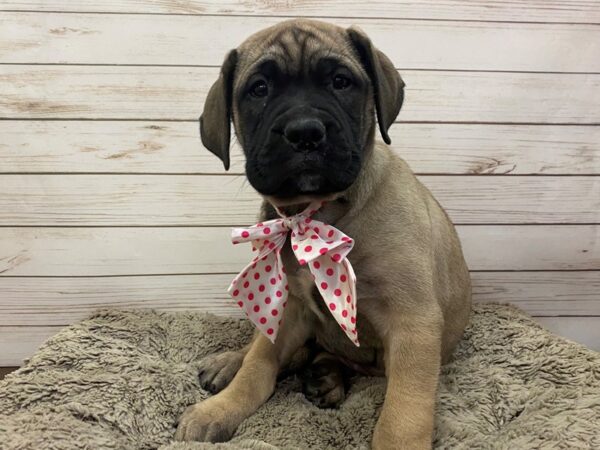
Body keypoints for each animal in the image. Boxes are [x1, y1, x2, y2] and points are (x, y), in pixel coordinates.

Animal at [176, 18, 472, 450]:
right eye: (259, 89)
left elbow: (404, 409)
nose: (304, 132)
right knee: (269, 347)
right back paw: (230, 363)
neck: (318, 214)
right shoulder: (289, 306)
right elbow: (258, 364)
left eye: (341, 81)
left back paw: (327, 378)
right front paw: (222, 408)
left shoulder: (413, 322)